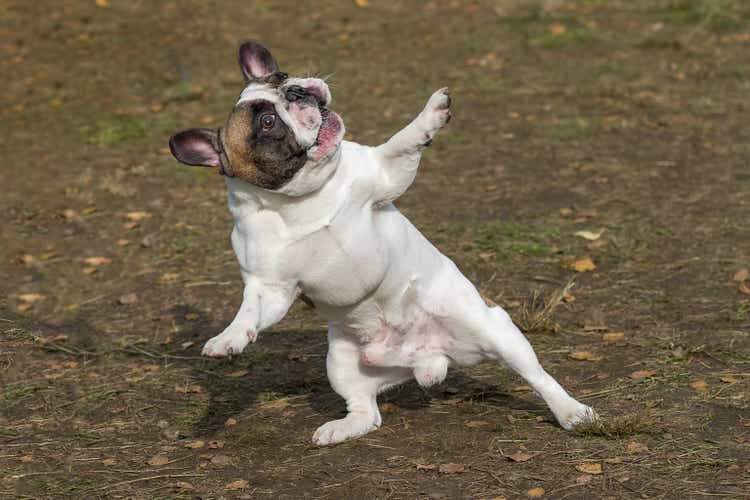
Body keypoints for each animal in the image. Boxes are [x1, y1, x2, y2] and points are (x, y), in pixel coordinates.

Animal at [170, 40, 600, 446]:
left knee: (539, 377)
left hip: (495, 329)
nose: (298, 91)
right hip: (341, 362)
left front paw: (431, 113)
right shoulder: (270, 287)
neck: (306, 199)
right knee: (367, 411)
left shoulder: (384, 174)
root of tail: (429, 360)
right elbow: (249, 311)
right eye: (268, 121)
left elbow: (401, 141)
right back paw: (342, 428)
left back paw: (572, 412)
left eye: (284, 76)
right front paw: (228, 339)